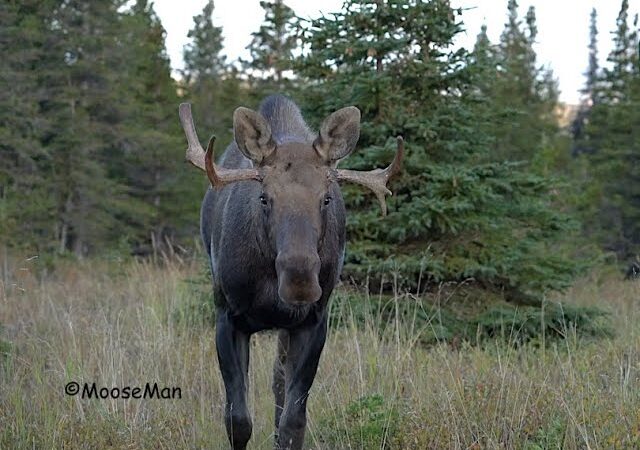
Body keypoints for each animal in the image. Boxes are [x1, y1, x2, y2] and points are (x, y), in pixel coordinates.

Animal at [178, 95, 402, 450]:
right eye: (264, 198)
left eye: (326, 199)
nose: (300, 281)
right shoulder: (226, 315)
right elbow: (237, 421)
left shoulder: (313, 321)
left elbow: (293, 422)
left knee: (279, 381)